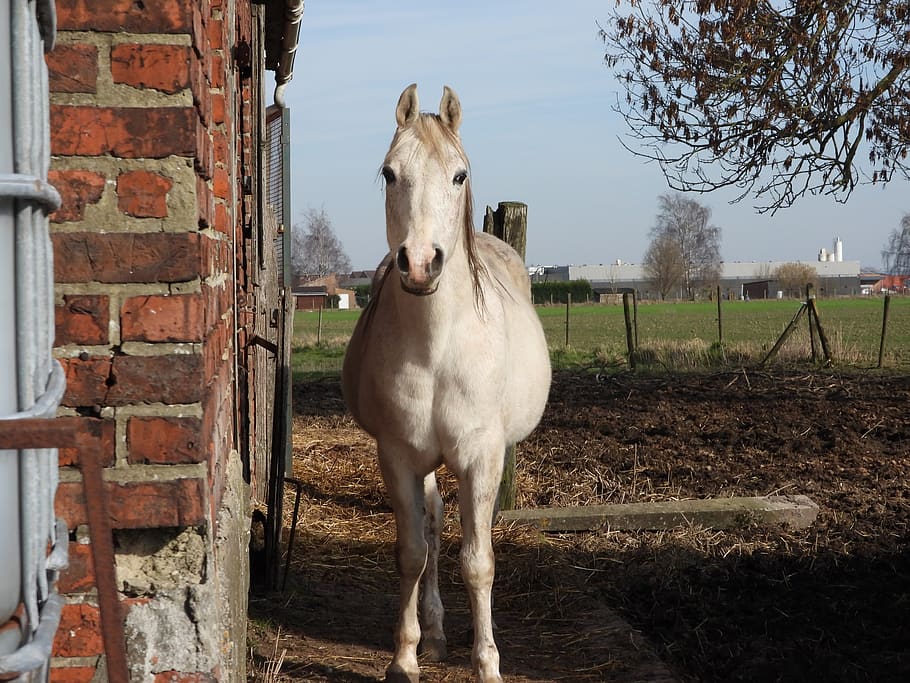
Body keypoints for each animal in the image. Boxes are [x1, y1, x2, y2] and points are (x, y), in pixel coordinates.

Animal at [342, 83, 551, 683]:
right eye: (390, 173)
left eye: (459, 175)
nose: (419, 263)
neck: (438, 346)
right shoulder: (398, 454)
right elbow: (412, 552)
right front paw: (404, 657)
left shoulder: (481, 455)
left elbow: (478, 562)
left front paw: (487, 663)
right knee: (433, 531)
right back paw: (433, 632)